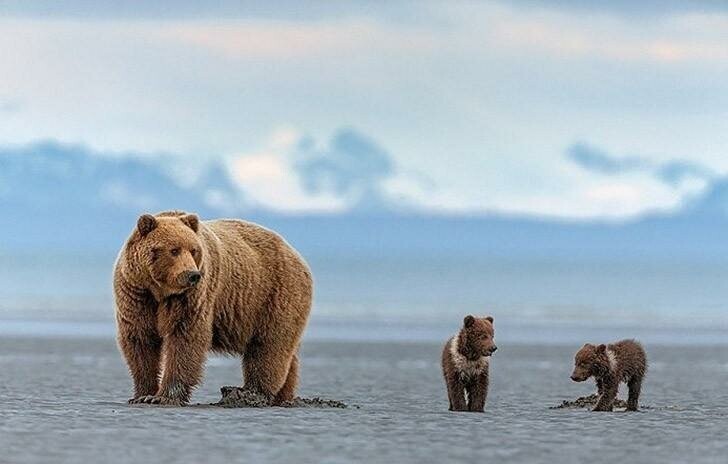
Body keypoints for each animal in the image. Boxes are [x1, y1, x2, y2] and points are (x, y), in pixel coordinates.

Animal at [112, 211, 312, 406]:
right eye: (174, 250)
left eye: (194, 250)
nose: (192, 275)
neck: (160, 291)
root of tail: (297, 255)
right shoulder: (137, 293)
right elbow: (140, 338)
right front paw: (143, 394)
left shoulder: (192, 296)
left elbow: (186, 337)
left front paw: (164, 396)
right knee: (287, 357)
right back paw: (283, 396)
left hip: (274, 295)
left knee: (269, 346)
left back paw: (253, 393)